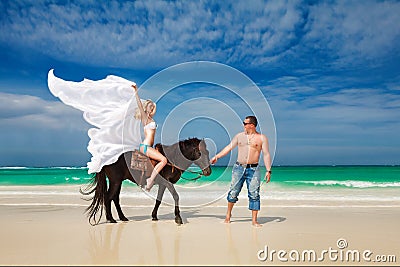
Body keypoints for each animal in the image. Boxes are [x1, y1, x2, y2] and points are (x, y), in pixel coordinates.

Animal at [81, 138, 212, 226]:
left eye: (208, 152)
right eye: (200, 153)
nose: (208, 171)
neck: (171, 160)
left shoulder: (163, 185)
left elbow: (159, 200)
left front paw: (154, 216)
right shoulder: (167, 183)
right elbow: (176, 196)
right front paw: (178, 218)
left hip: (118, 181)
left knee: (115, 198)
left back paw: (122, 218)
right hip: (115, 181)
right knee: (108, 197)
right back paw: (111, 219)